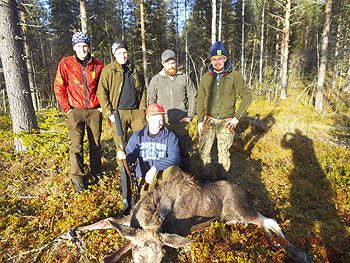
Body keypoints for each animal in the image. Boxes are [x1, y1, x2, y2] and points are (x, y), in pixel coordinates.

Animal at [58, 172, 314, 262]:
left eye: (162, 254)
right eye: (137, 253)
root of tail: (245, 192)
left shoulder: (174, 231)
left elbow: (111, 255)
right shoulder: (128, 220)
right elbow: (103, 222)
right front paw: (68, 233)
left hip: (241, 210)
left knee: (270, 220)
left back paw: (298, 253)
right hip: (237, 216)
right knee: (264, 222)